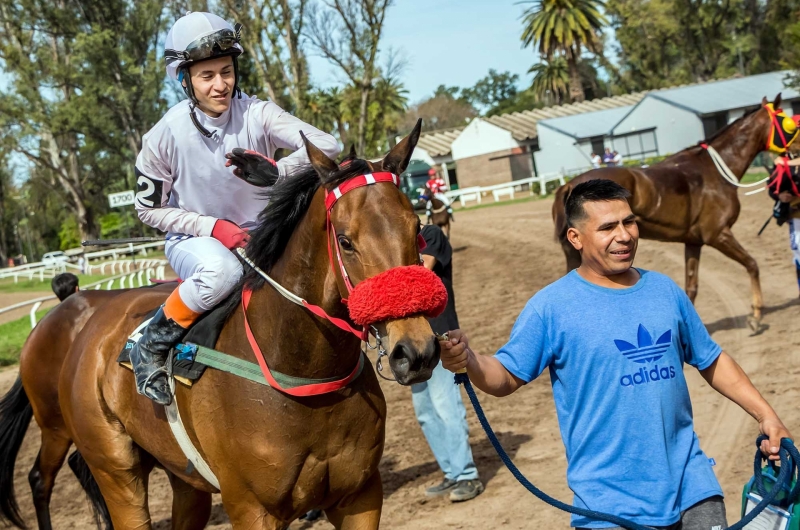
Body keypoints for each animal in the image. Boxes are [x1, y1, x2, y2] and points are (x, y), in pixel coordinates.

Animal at [59, 125, 440, 528]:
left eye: (416, 227)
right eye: (346, 241)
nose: (415, 351)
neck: (302, 373)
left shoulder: (361, 495)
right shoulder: (250, 507)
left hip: (184, 481)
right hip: (116, 472)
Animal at [552, 93, 796, 328]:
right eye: (790, 124)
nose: (796, 151)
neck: (713, 172)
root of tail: (568, 185)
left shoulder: (694, 242)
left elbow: (691, 288)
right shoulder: (718, 235)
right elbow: (753, 265)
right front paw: (755, 316)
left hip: (572, 252)